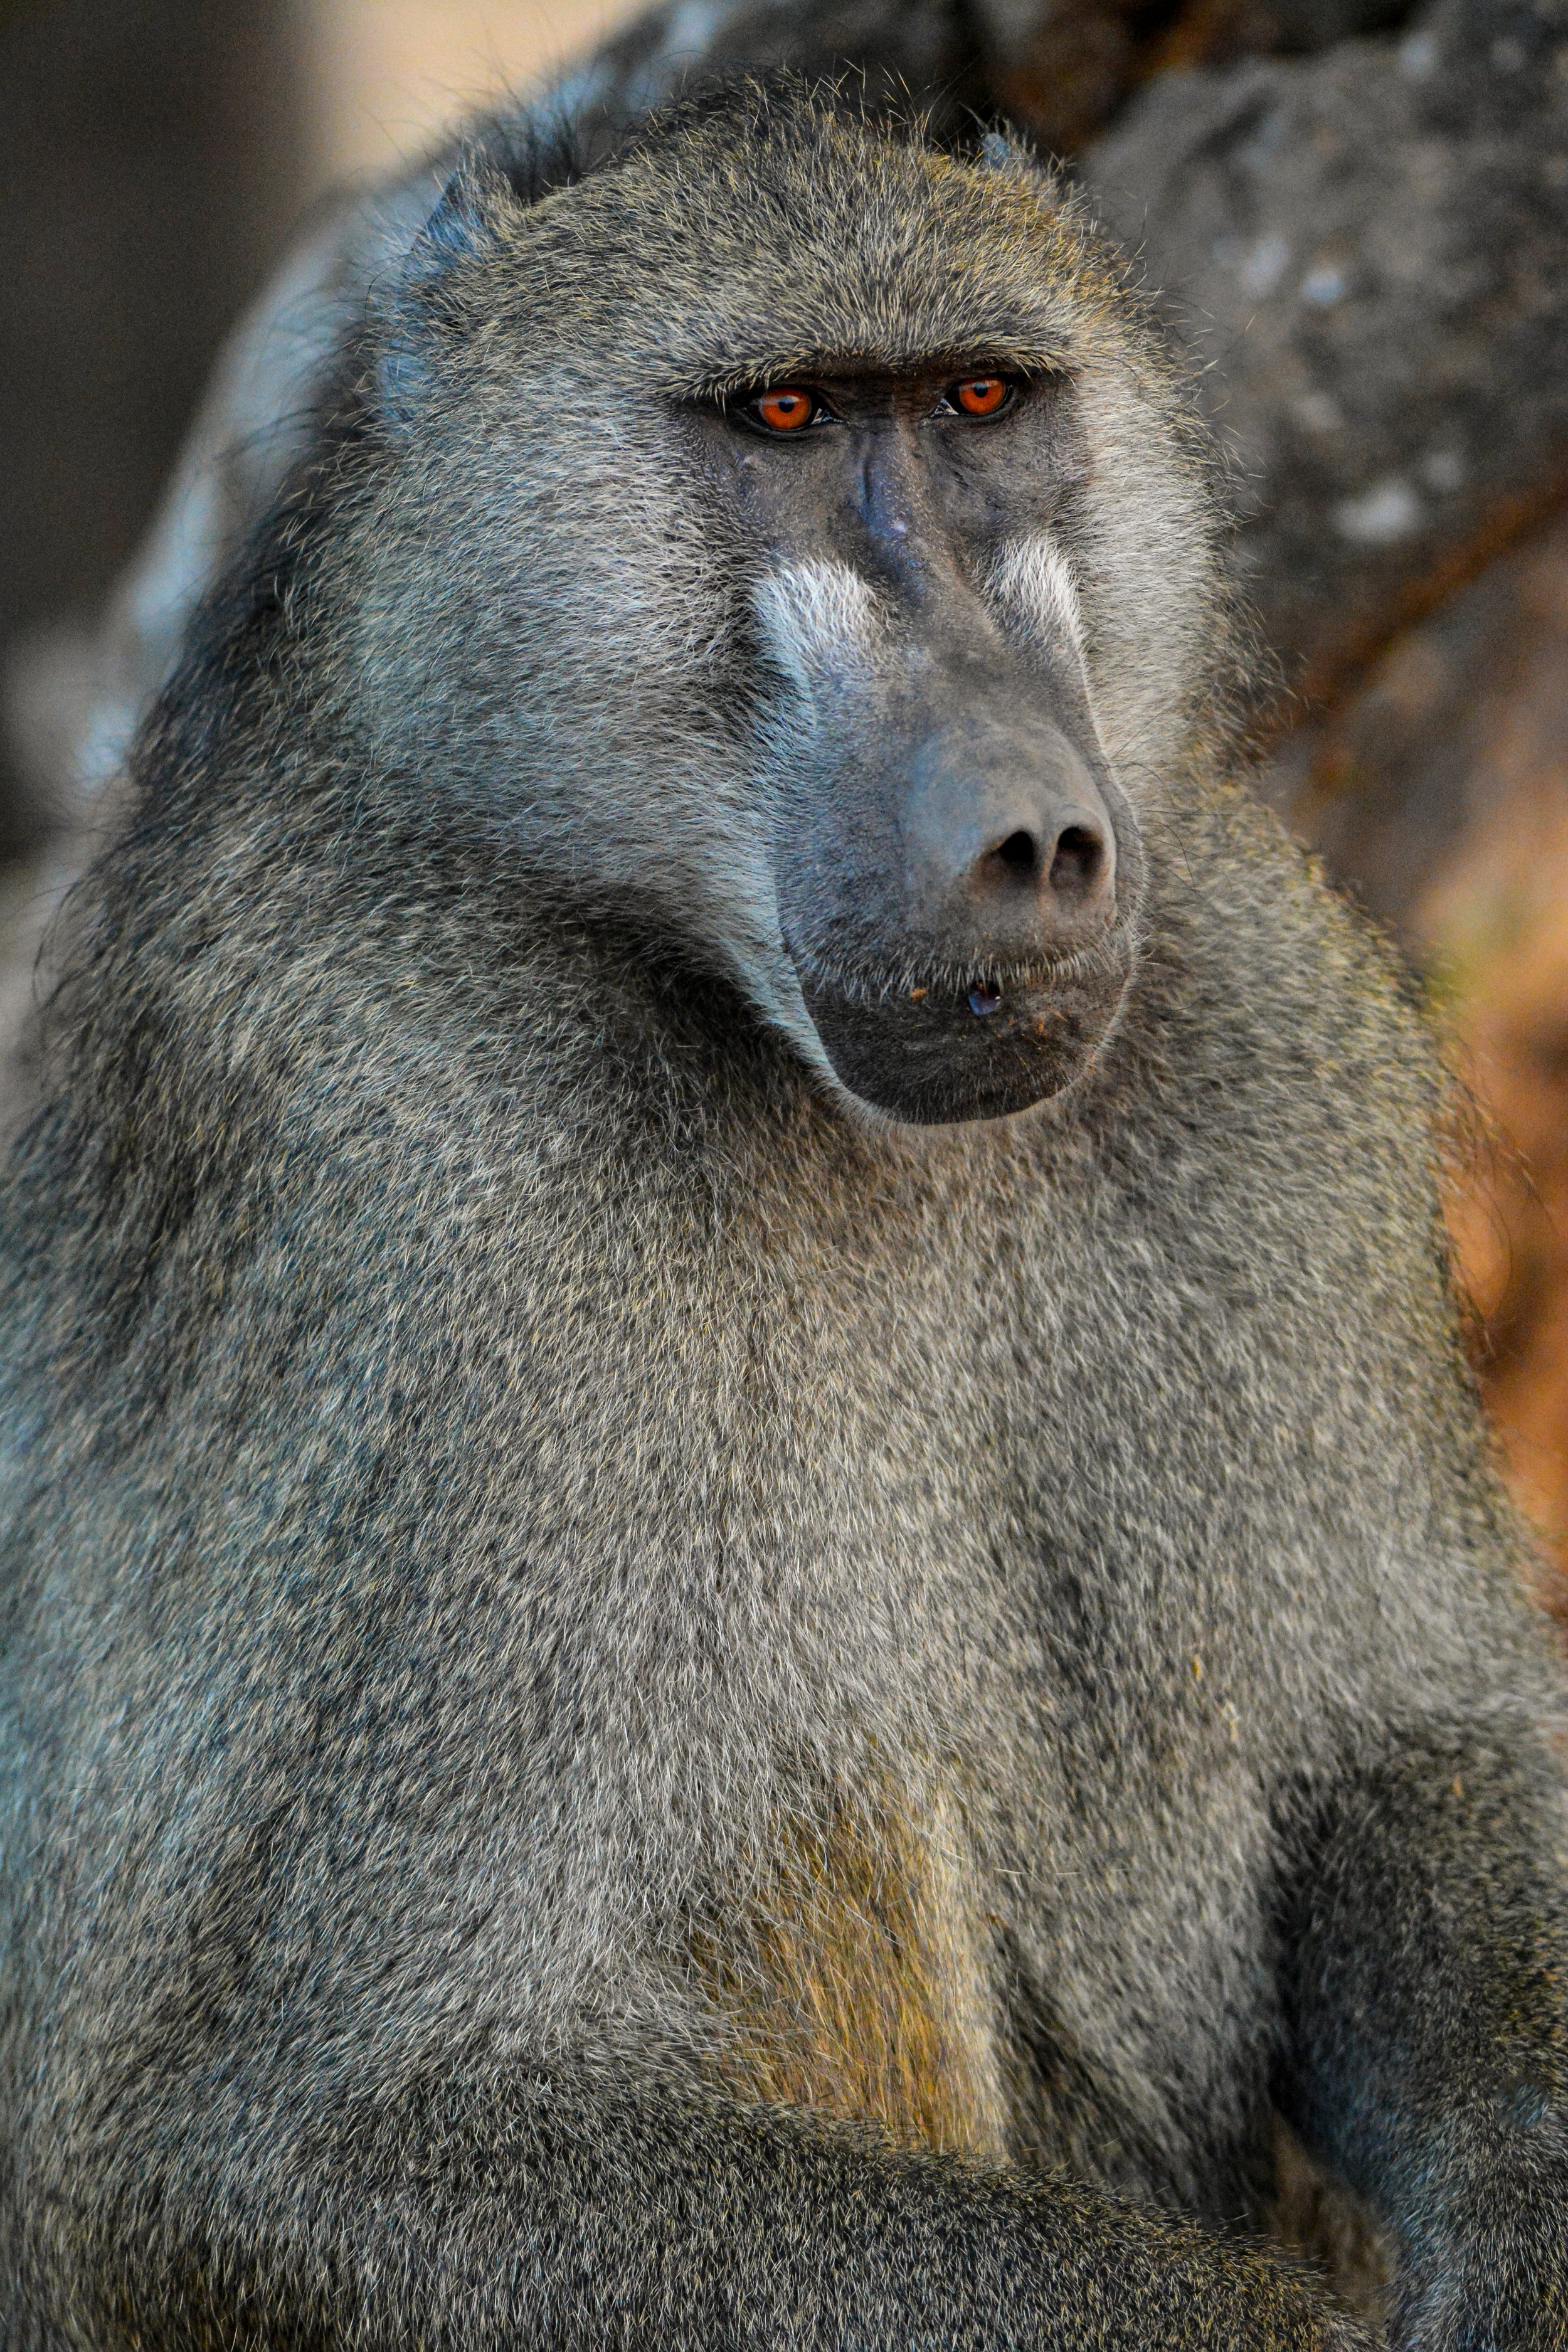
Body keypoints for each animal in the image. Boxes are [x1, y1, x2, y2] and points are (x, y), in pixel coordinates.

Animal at [0, 80, 1566, 2352]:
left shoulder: (1255, 1031)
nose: (1033, 837)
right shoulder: (426, 1196)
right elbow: (278, 2146)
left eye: (982, 399)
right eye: (786, 416)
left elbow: (1418, 1749)